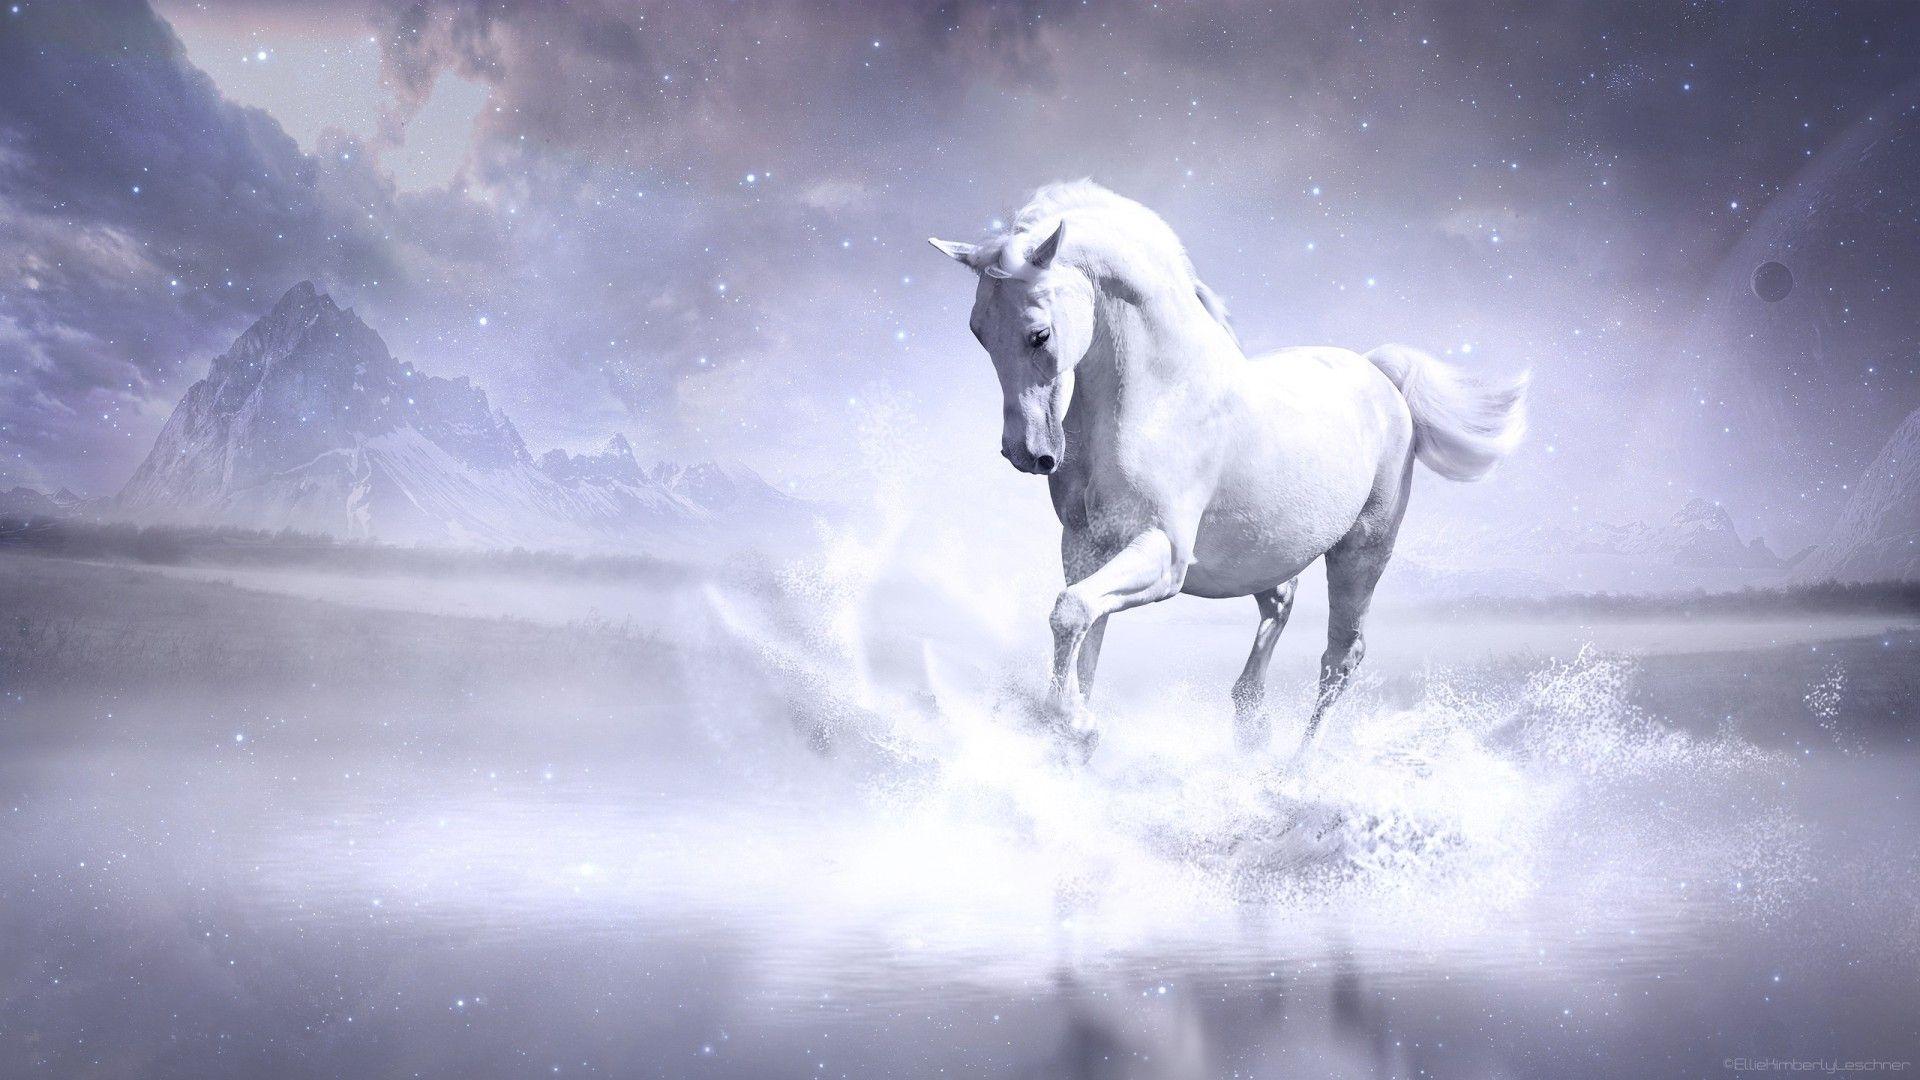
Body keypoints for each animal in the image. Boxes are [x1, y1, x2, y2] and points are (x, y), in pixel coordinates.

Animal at [929, 181, 1527, 756]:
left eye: (1040, 334)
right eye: (978, 331)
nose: (1027, 454)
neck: (1160, 396)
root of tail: (1380, 376)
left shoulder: (1164, 555)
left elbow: (1071, 612)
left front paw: (1076, 725)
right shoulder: (1085, 547)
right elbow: (1085, 634)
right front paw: (1071, 734)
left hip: (1363, 551)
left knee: (1341, 657)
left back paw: (1296, 768)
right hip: (1261, 551)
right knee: (1282, 603)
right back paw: (1250, 723)